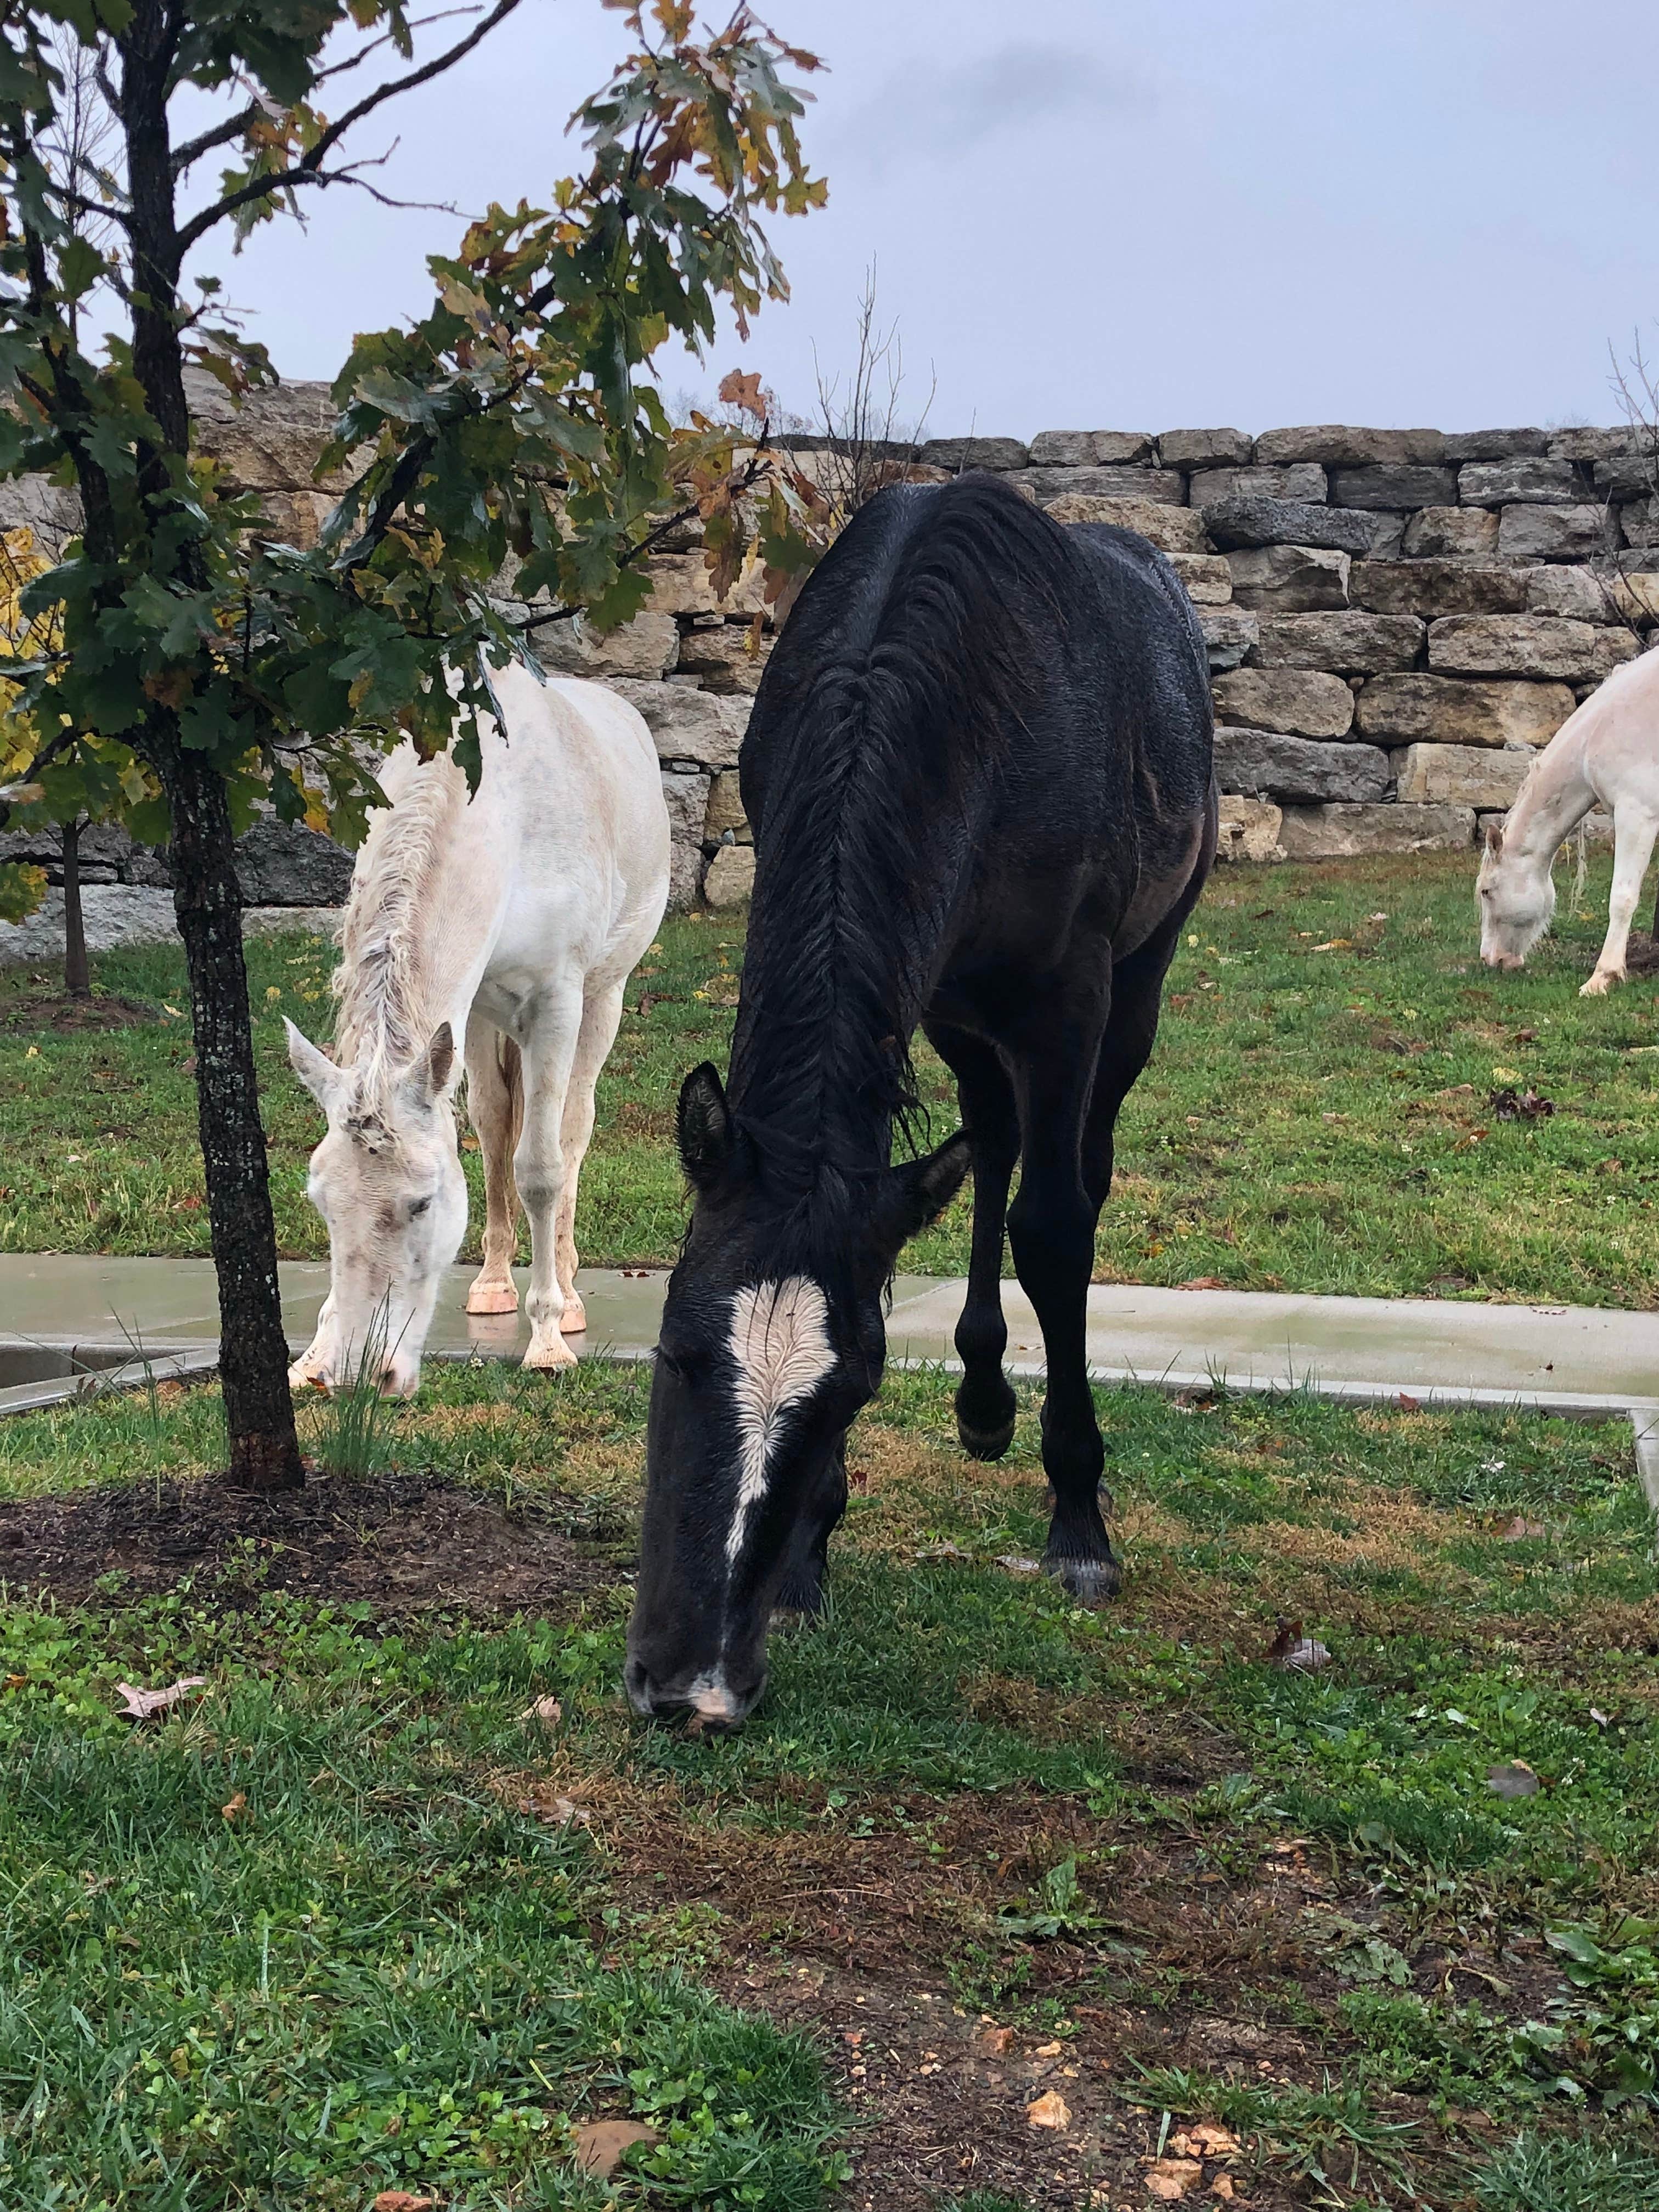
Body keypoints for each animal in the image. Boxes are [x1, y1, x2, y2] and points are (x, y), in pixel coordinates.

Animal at [285, 662, 670, 1395]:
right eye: (321, 1203)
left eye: (423, 1203)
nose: (363, 1374)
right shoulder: (465, 1015)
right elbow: (494, 1142)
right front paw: (314, 1351)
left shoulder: (557, 1003)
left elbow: (542, 1168)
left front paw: (548, 1341)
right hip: (488, 1025)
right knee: (494, 1129)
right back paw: (493, 1285)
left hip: (602, 1002)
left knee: (572, 1129)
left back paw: (568, 1297)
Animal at [625, 471, 1216, 1728]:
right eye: (676, 1354)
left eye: (850, 1394)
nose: (691, 1689)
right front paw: (810, 1560)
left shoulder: (1067, 994)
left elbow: (1055, 1229)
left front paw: (1079, 1522)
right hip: (960, 1007)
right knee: (988, 1143)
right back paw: (984, 1398)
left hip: (1132, 986)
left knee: (1072, 1168)